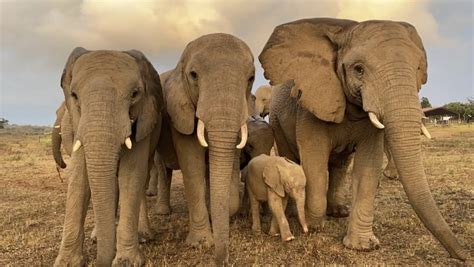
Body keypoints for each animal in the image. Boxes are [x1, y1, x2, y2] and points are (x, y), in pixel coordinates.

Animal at [157, 34, 254, 266]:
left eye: (251, 79)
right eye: (193, 75)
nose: (223, 261)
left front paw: (216, 211)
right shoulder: (180, 112)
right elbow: (193, 164)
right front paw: (201, 244)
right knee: (161, 169)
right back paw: (163, 212)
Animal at [262, 18, 468, 262]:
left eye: (418, 69)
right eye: (358, 69)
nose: (463, 256)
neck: (343, 31)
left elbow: (367, 167)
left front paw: (362, 246)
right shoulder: (309, 105)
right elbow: (315, 162)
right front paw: (313, 227)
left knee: (340, 165)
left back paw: (339, 212)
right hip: (277, 120)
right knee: (292, 157)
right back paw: (298, 212)